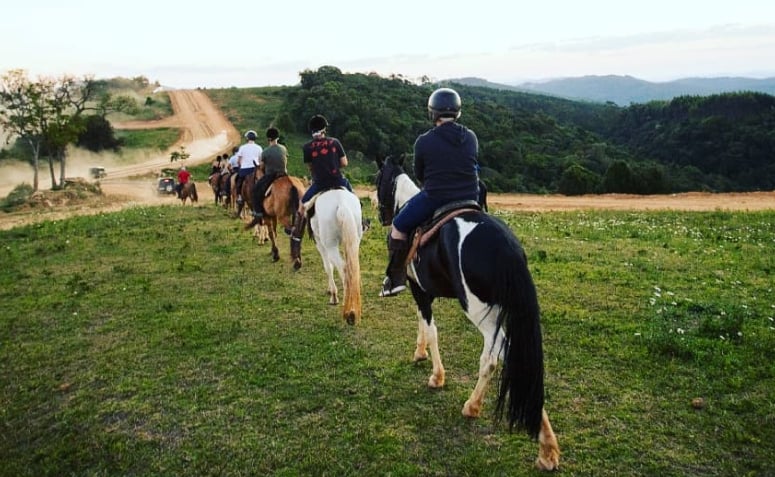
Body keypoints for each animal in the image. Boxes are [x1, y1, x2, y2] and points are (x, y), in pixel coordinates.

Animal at [306, 188, 364, 326]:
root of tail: (341, 203)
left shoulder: (320, 243)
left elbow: (328, 267)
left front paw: (333, 295)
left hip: (330, 245)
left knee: (343, 269)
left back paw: (348, 311)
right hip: (355, 240)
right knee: (353, 269)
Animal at [374, 154, 560, 470]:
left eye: (379, 181)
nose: (382, 217)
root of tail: (505, 247)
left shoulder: (418, 289)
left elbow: (431, 330)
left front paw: (436, 376)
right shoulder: (423, 292)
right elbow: (422, 323)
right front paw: (419, 353)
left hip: (480, 311)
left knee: (497, 357)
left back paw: (473, 406)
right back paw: (547, 448)